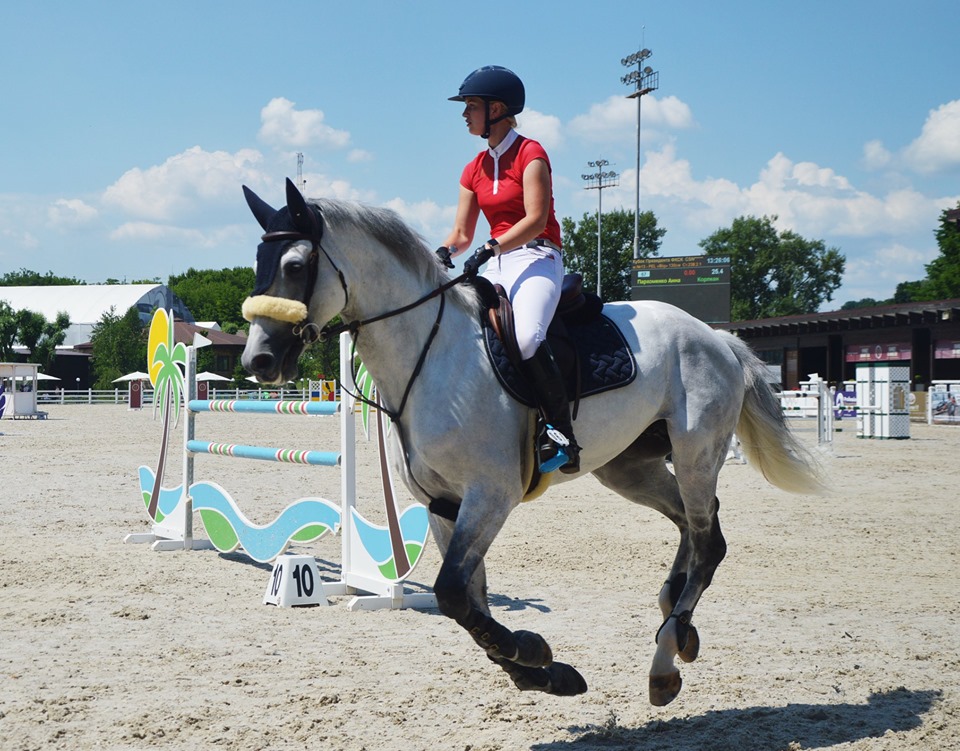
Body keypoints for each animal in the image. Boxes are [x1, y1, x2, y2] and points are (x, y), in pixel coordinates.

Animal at [240, 179, 825, 706]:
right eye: (258, 263)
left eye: (295, 266)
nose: (257, 361)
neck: (432, 356)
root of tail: (716, 337)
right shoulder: (443, 504)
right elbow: (468, 600)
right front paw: (542, 673)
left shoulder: (490, 494)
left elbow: (453, 594)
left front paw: (533, 655)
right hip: (629, 468)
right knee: (690, 525)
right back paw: (676, 625)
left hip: (696, 454)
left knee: (708, 541)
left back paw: (664, 660)